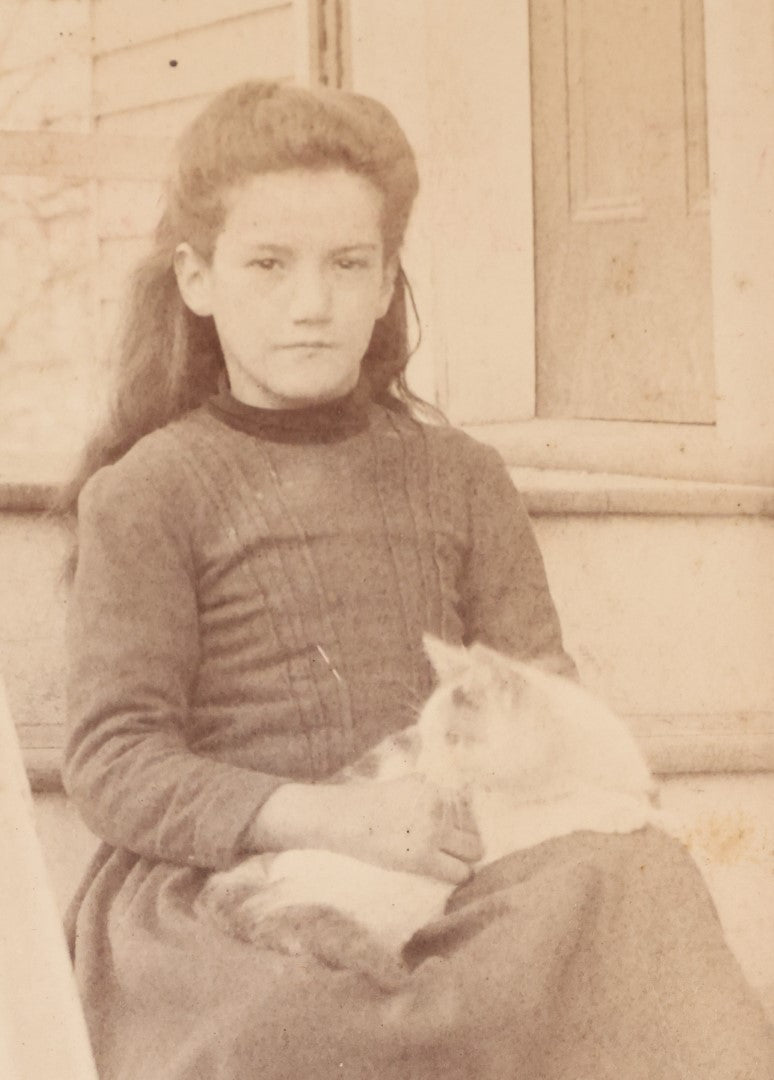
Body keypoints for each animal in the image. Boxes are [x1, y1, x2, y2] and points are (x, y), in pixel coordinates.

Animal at [194, 635, 664, 989]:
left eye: (453, 738)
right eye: (426, 735)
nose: (425, 768)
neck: (562, 767)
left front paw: (651, 807)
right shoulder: (489, 828)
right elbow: (561, 809)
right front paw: (625, 810)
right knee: (276, 911)